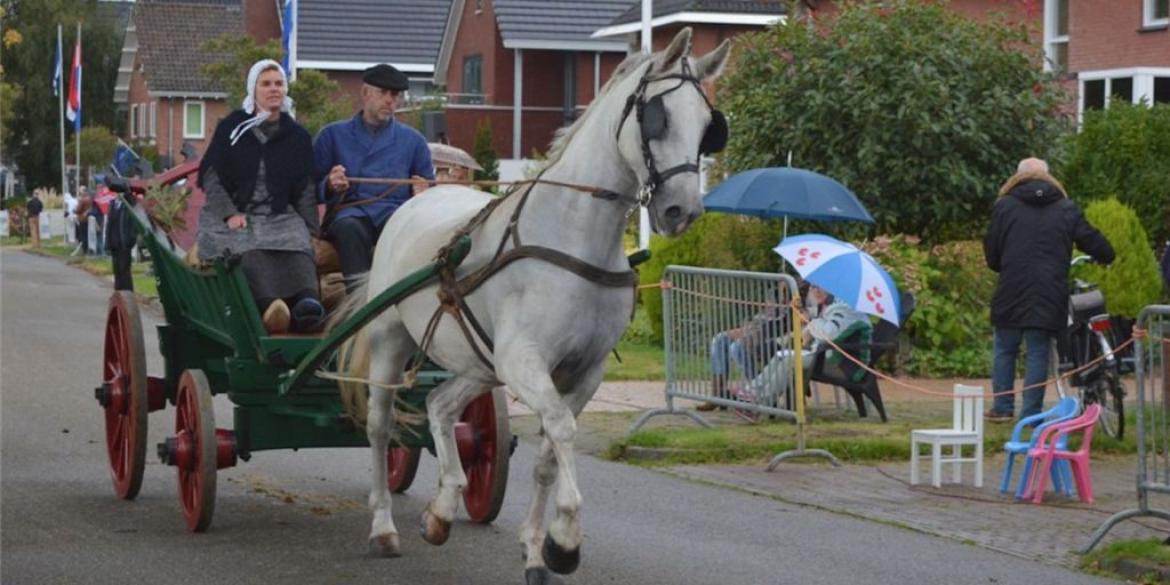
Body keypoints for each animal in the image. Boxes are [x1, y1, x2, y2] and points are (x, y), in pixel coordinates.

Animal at [334, 28, 725, 585]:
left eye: (708, 127)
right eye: (658, 117)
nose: (681, 211)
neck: (571, 236)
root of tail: (413, 199)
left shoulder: (583, 370)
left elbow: (546, 454)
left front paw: (539, 552)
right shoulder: (525, 360)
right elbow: (561, 429)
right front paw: (566, 541)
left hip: (479, 361)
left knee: (440, 405)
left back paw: (442, 510)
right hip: (393, 339)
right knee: (380, 425)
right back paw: (384, 527)